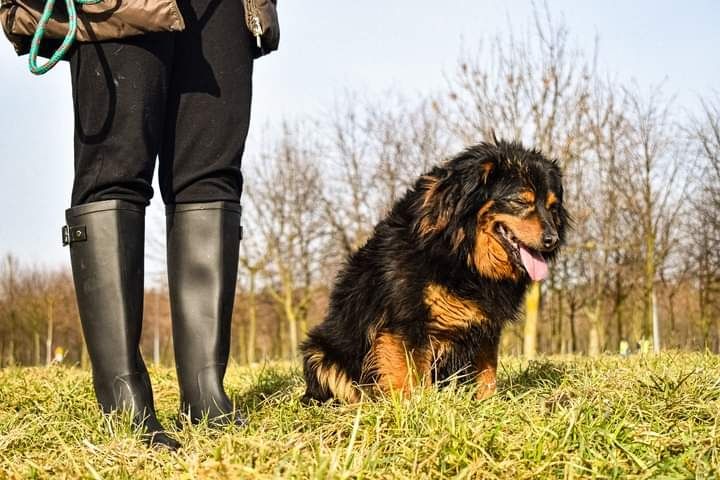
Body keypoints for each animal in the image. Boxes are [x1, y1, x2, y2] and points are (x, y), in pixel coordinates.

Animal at [300, 137, 568, 404]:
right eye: (521, 201)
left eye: (553, 208)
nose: (552, 240)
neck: (462, 254)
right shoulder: (407, 325)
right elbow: (412, 379)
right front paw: (416, 407)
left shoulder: (485, 329)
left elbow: (487, 375)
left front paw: (488, 404)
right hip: (319, 351)